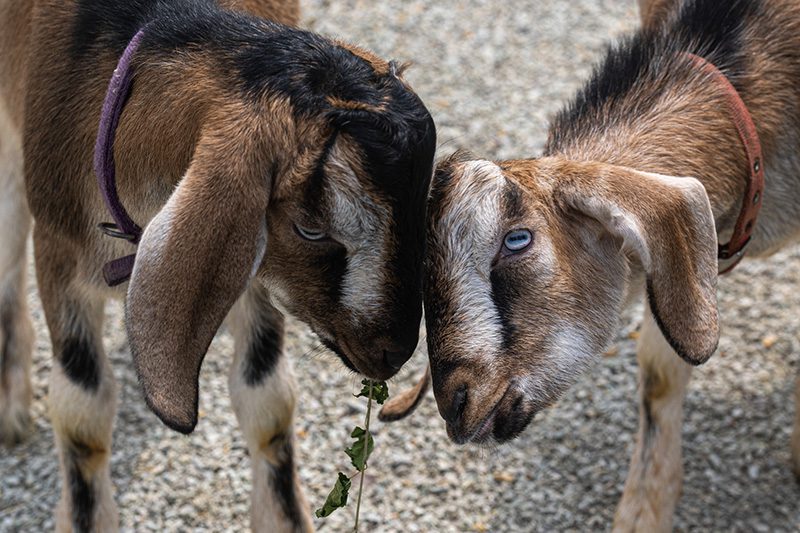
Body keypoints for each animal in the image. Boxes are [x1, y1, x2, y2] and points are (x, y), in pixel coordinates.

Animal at [0, 0, 436, 530]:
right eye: (310, 228)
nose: (394, 351)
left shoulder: (247, 267)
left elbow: (267, 396)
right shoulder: (60, 253)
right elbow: (82, 415)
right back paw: (12, 407)